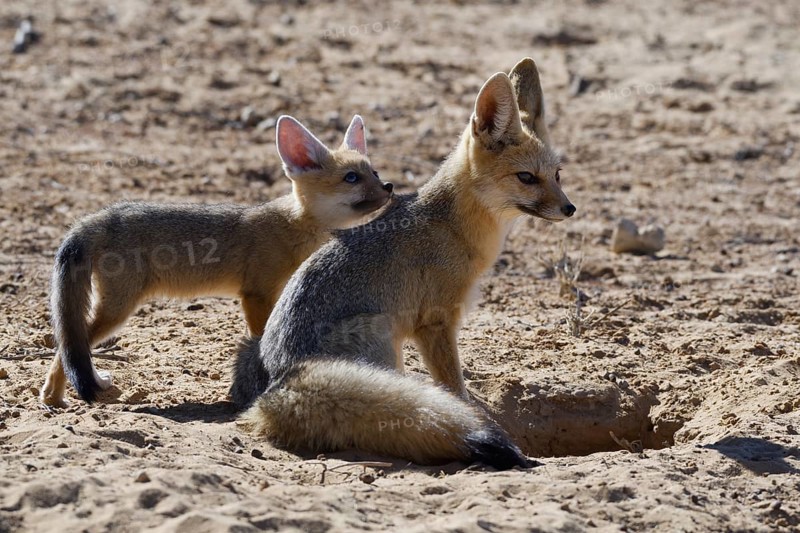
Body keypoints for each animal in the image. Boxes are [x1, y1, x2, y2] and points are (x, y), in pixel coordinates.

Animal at [40, 114, 394, 407]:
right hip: (118, 309)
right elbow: (261, 337)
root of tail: (99, 216)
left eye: (374, 173)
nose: (389, 186)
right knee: (68, 346)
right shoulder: (255, 294)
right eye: (351, 178)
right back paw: (55, 398)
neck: (292, 224)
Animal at [230, 58, 576, 470]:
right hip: (383, 332)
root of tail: (278, 382)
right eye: (527, 178)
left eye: (557, 175)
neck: (452, 226)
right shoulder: (435, 323)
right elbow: (453, 384)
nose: (570, 208)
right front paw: (470, 411)